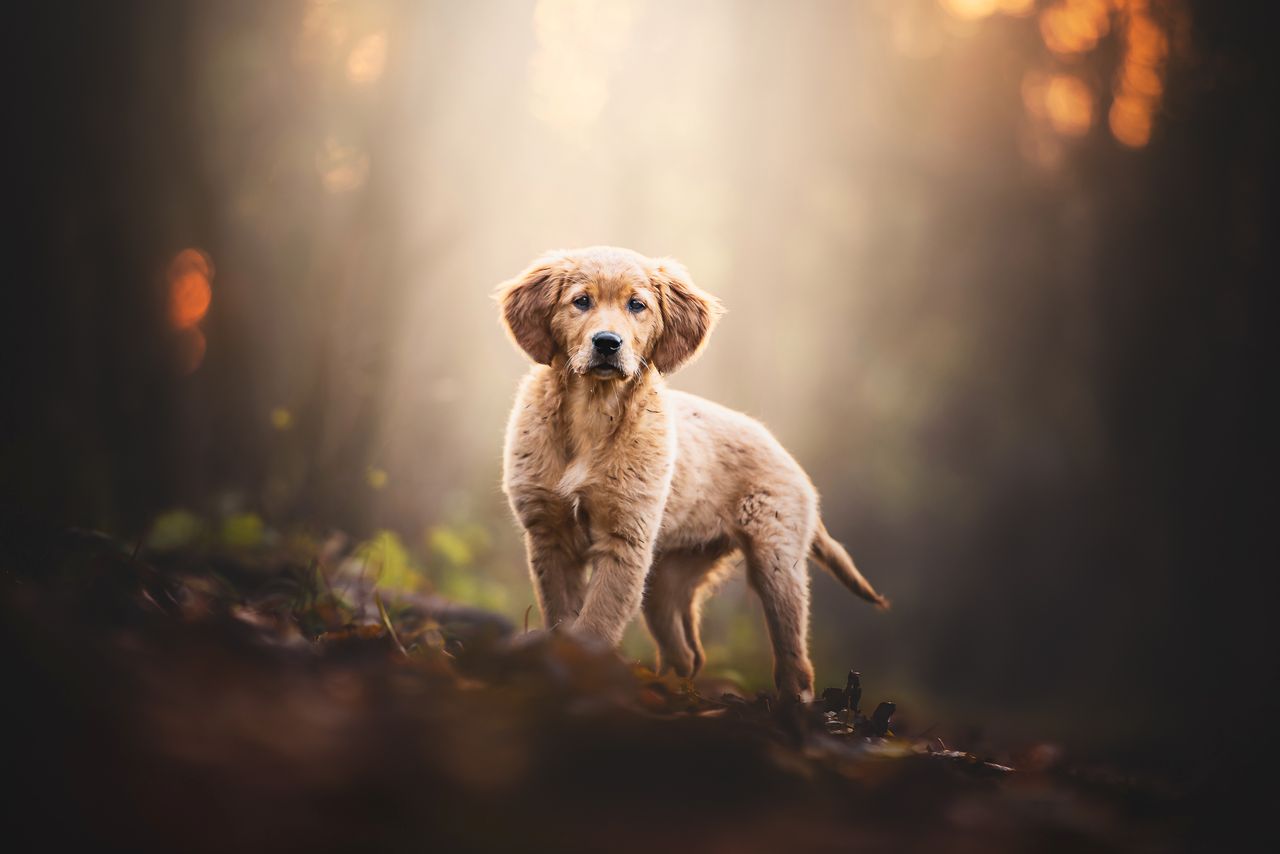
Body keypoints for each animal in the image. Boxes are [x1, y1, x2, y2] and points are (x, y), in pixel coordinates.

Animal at [494, 245, 885, 701]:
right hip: (667, 577)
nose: (607, 343)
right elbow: (562, 617)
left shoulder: (625, 542)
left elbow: (595, 623)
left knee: (794, 661)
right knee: (687, 653)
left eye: (637, 305)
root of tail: (790, 461)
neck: (593, 411)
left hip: (776, 561)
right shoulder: (550, 536)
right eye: (581, 301)